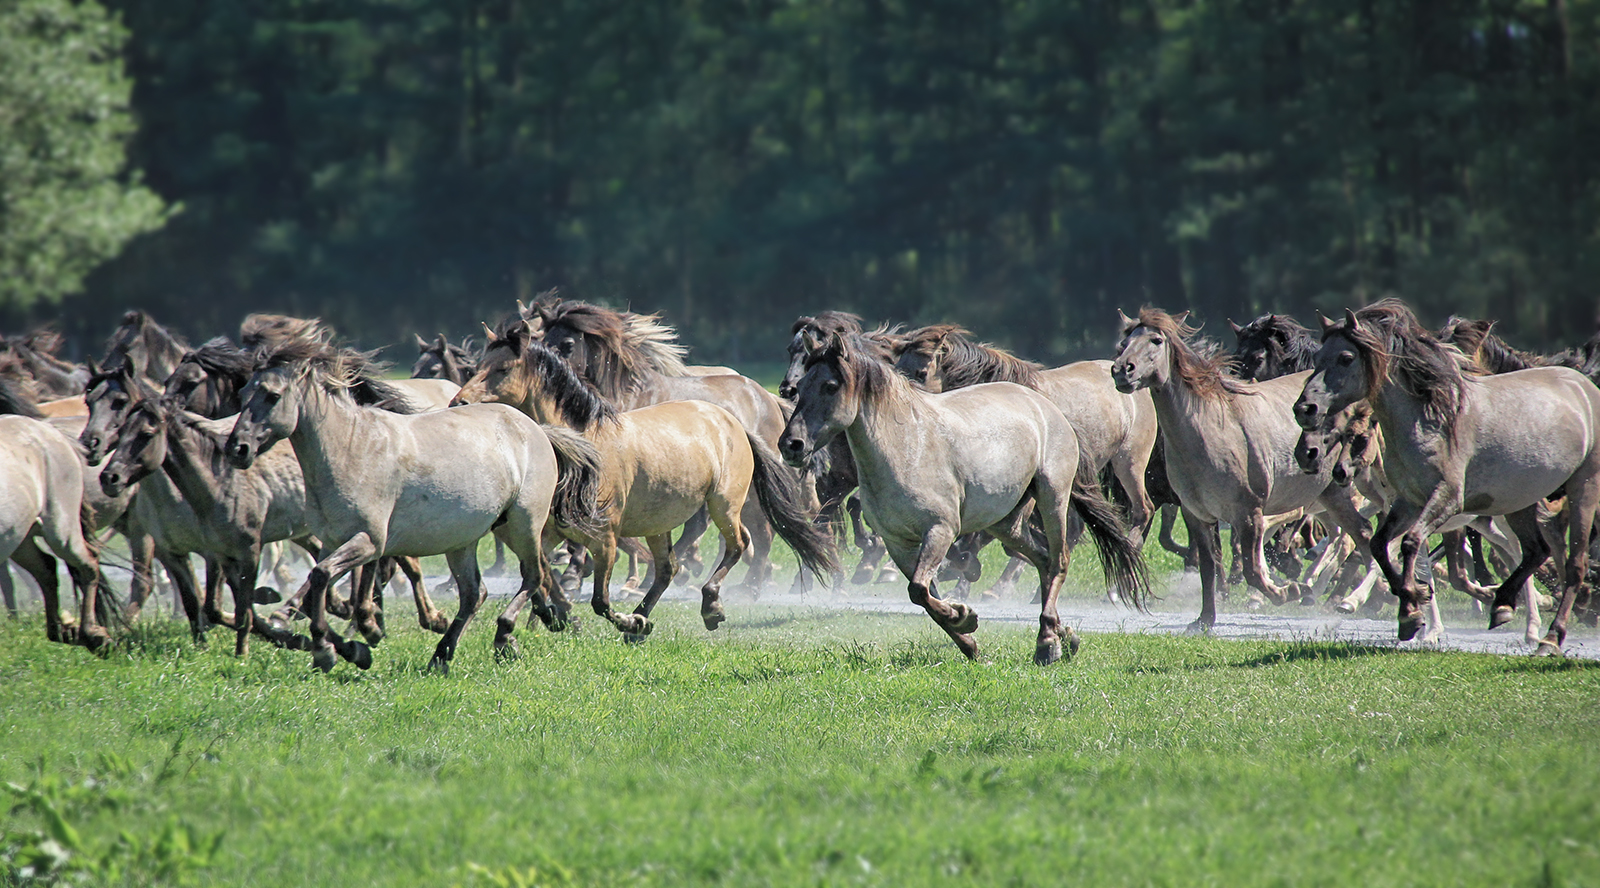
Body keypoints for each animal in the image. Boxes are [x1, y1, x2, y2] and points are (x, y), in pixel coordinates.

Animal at [777, 329, 1145, 662]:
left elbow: (919, 589)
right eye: (801, 388)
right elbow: (923, 595)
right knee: (1041, 560)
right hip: (1006, 523)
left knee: (1058, 562)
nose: (791, 445)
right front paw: (968, 639)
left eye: (830, 386)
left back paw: (1047, 644)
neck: (906, 448)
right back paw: (1060, 635)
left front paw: (963, 617)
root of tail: (1046, 406)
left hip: (1052, 497)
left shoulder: (940, 530)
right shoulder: (899, 544)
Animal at [1292, 300, 1600, 652]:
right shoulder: (1409, 502)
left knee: (1571, 562)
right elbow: (1381, 544)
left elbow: (1410, 544)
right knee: (1535, 551)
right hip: (1518, 501)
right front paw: (1412, 610)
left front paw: (1412, 610)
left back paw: (1549, 635)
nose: (1304, 408)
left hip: (1582, 488)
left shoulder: (1446, 499)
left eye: (1346, 357)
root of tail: (1584, 385)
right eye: (1317, 357)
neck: (1429, 420)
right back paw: (1504, 605)